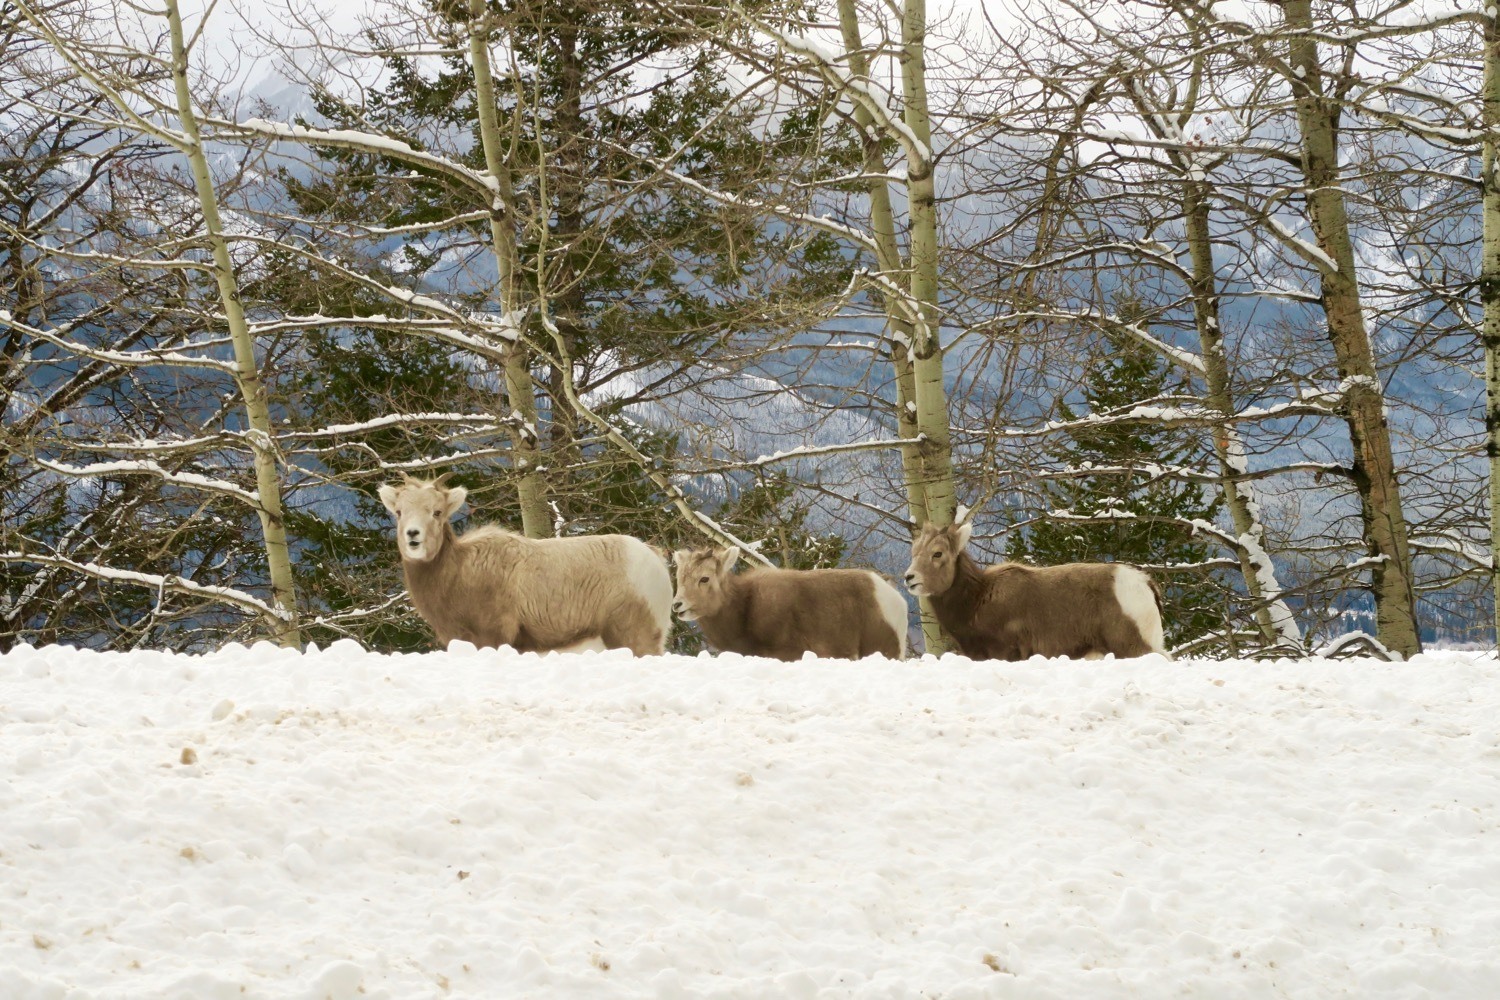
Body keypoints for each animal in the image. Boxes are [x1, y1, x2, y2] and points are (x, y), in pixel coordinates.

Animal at [378, 476, 672, 656]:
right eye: (399, 512)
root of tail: (656, 561)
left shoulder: (493, 636)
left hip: (634, 637)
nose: (413, 535)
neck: (458, 574)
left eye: (437, 512)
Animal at [894, 521, 1164, 659]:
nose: (909, 578)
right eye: (914, 552)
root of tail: (1145, 584)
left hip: (1133, 646)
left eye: (937, 553)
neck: (977, 601)